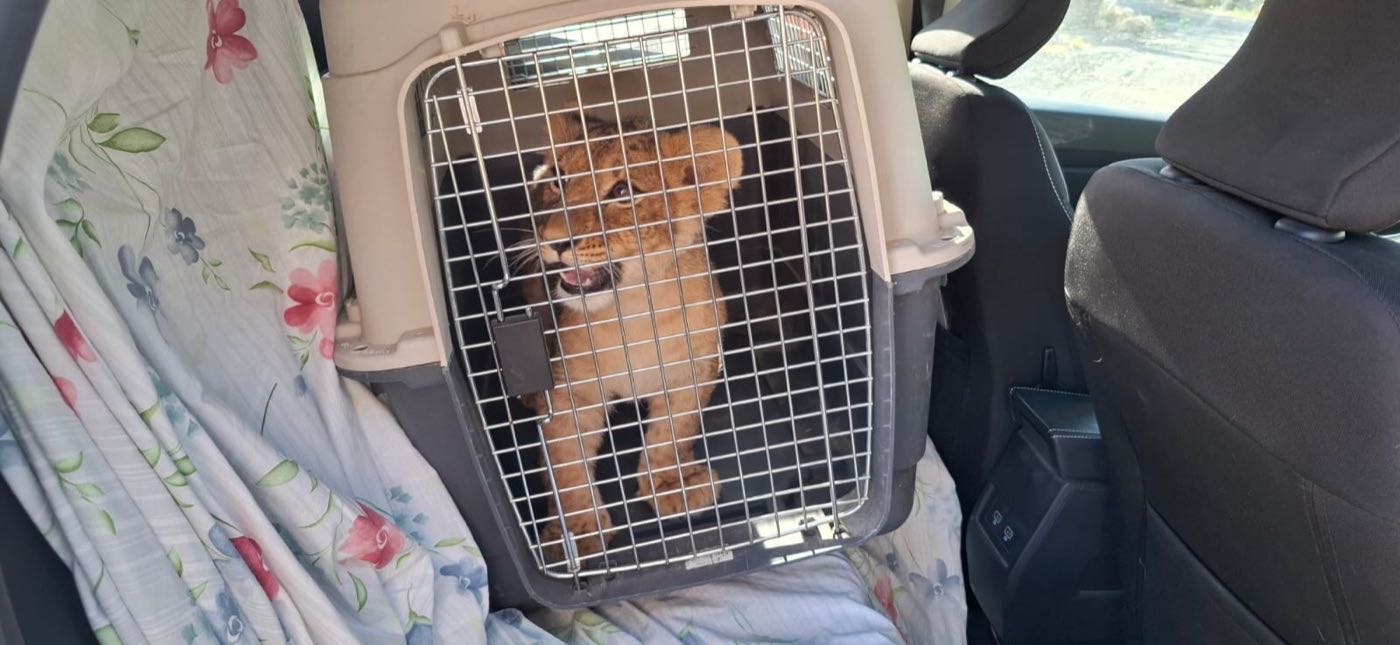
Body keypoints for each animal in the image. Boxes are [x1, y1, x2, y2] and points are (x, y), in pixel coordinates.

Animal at [511, 108, 743, 563]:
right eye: (559, 179)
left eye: (622, 191)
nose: (554, 241)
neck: (631, 313)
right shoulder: (571, 391)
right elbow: (566, 462)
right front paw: (578, 533)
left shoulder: (693, 371)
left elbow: (671, 434)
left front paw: (671, 487)